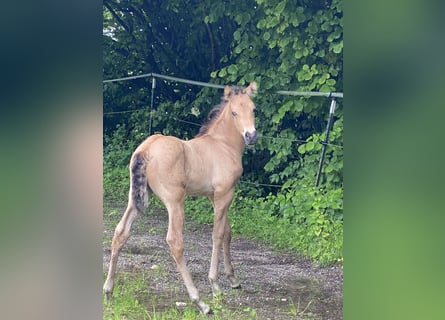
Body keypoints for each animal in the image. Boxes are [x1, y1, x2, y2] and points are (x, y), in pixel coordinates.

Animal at [103, 81, 256, 314]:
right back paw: (200, 302)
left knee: (121, 232)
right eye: (234, 112)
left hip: (135, 198)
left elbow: (227, 232)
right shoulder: (224, 193)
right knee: (175, 241)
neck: (222, 144)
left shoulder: (214, 196)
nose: (251, 136)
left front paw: (233, 279)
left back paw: (109, 291)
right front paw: (215, 285)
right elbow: (218, 234)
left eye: (253, 109)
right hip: (175, 202)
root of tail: (146, 149)